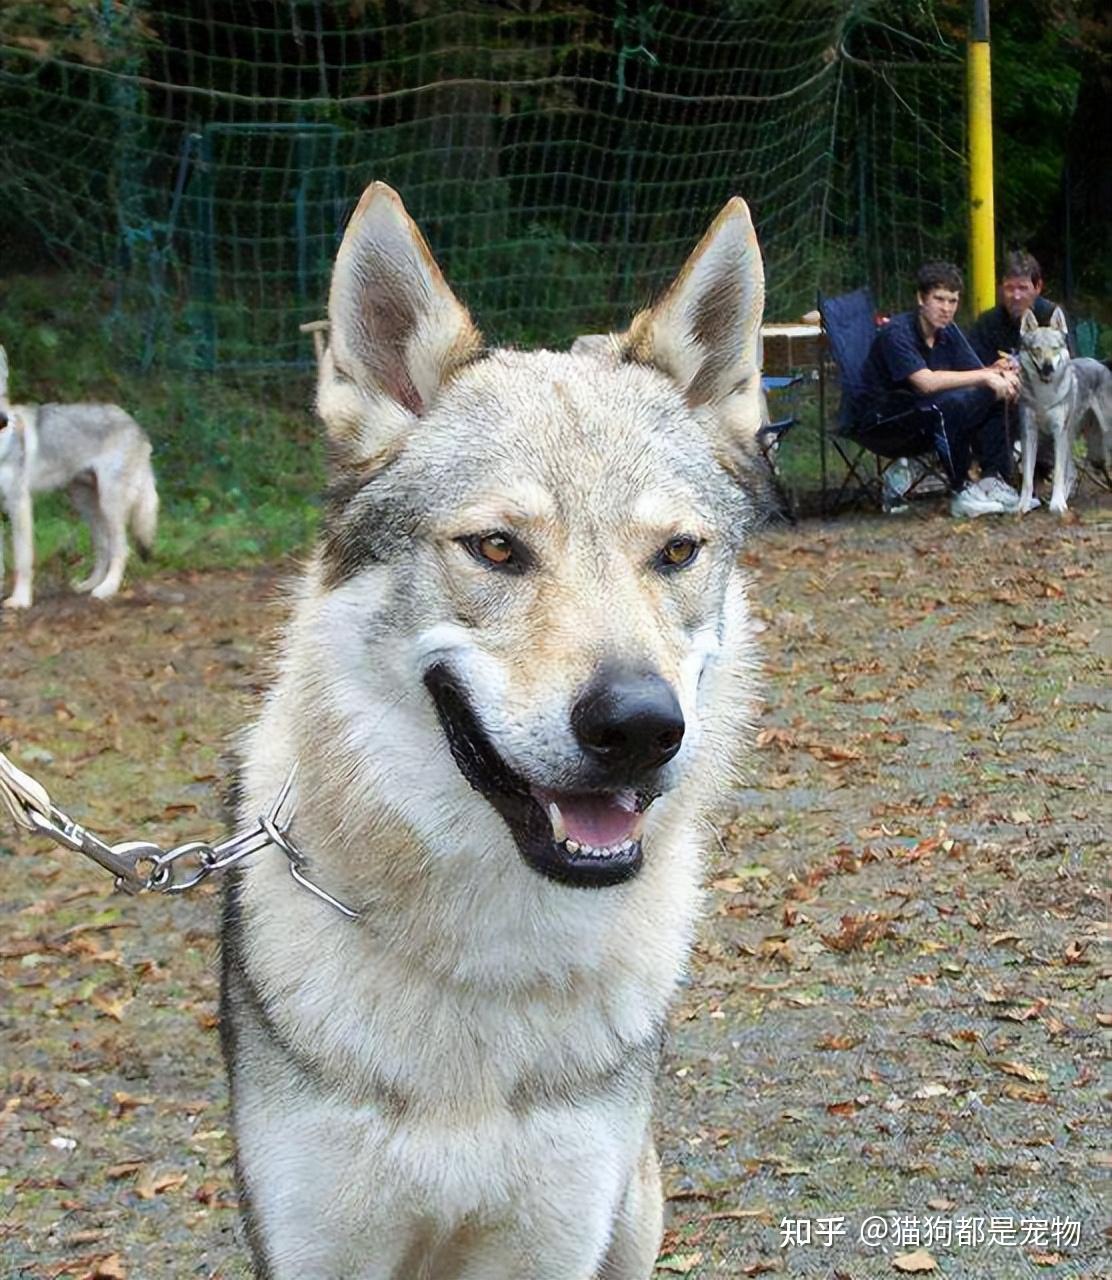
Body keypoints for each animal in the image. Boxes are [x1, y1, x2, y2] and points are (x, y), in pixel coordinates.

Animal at [225, 183, 762, 1280]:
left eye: (676, 552)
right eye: (498, 548)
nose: (639, 726)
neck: (486, 958)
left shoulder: (548, 1240)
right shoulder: (314, 1247)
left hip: (632, 1210)